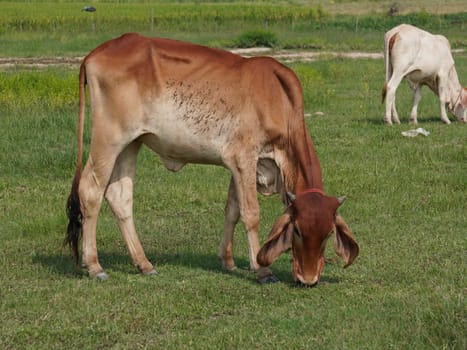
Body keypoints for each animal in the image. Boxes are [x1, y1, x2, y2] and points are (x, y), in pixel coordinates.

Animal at [65, 32, 358, 286]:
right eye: (297, 230)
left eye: (328, 233)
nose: (308, 279)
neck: (278, 99)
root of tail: (95, 52)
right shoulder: (243, 157)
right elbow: (250, 213)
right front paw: (262, 270)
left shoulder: (242, 166)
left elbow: (232, 210)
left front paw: (227, 261)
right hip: (109, 138)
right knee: (91, 190)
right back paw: (95, 266)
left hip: (131, 143)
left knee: (120, 197)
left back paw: (144, 263)